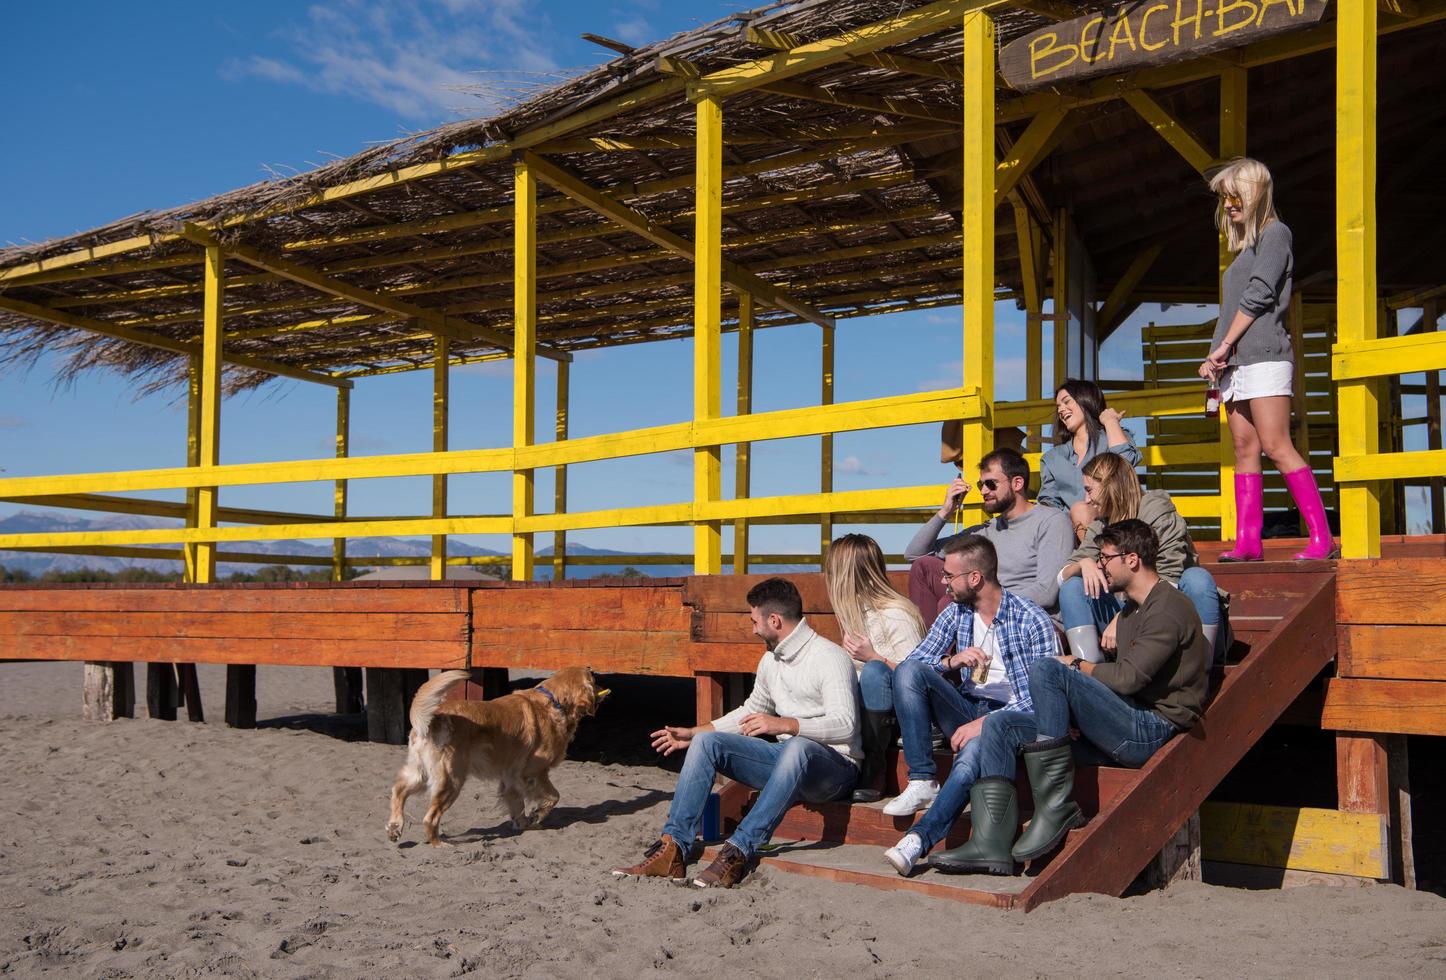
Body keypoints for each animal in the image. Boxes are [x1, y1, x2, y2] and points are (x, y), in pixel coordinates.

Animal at [384, 670, 604, 849]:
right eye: (592, 678)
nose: (593, 670)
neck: (553, 701)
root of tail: (434, 718)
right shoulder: (533, 773)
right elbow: (553, 797)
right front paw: (537, 815)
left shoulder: (510, 779)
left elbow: (518, 806)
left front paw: (524, 825)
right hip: (451, 782)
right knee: (429, 818)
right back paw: (439, 844)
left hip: (420, 774)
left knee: (399, 790)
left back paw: (395, 827)